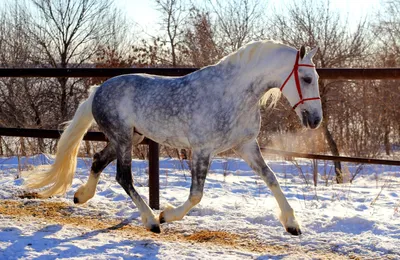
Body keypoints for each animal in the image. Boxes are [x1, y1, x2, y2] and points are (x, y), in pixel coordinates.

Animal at [23, 40, 322, 236]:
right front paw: (166, 215)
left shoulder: (245, 146)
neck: (234, 94)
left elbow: (271, 178)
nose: (316, 120)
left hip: (131, 138)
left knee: (98, 160)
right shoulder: (202, 150)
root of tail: (99, 90)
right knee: (123, 176)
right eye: (307, 78)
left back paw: (81, 196)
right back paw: (151, 221)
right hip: (122, 138)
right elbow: (196, 195)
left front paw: (292, 224)